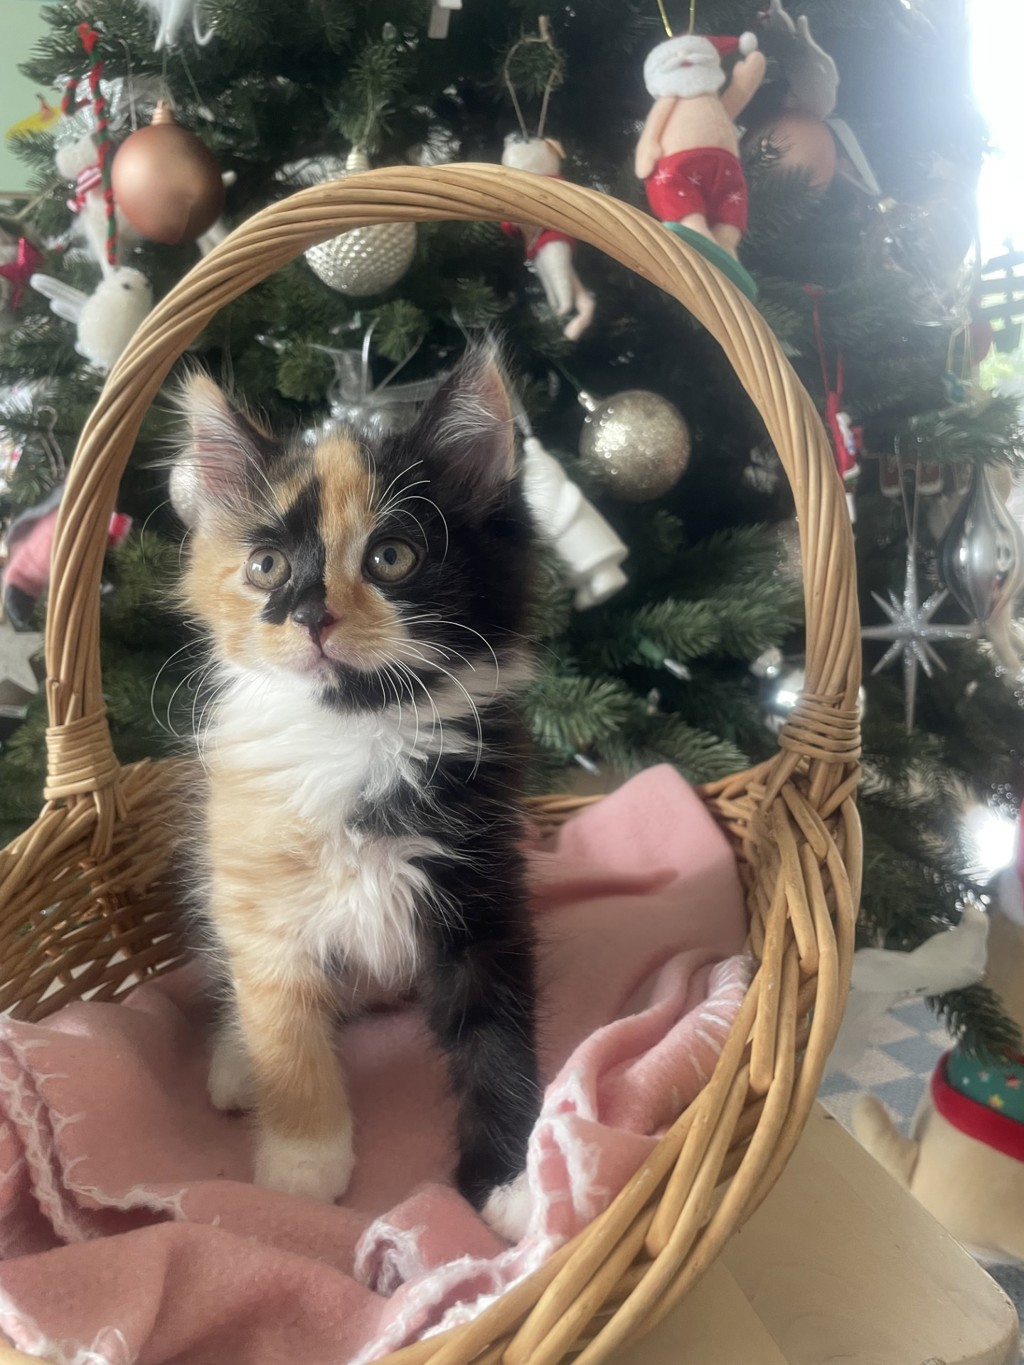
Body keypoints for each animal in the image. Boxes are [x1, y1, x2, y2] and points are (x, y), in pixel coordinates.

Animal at [169, 344, 540, 1230]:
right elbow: (285, 1029)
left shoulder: (481, 894)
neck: (358, 734)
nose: (310, 612)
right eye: (266, 565)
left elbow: (498, 1036)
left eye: (393, 556)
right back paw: (235, 1065)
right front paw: (301, 1166)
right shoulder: (261, 907)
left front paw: (510, 1177)